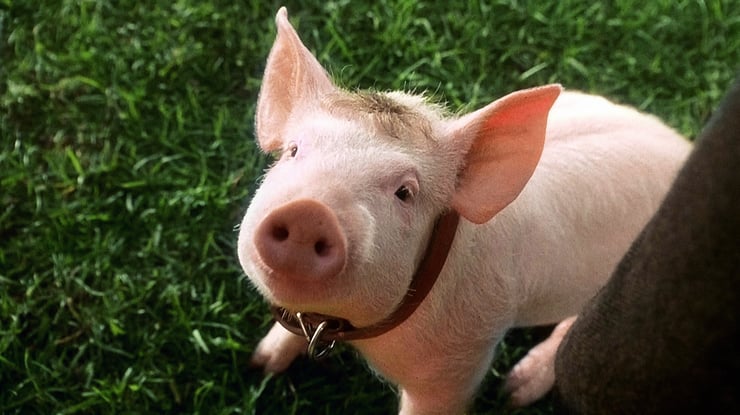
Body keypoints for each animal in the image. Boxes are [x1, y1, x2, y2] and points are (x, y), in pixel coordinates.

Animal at [237, 7, 692, 414]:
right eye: (294, 151)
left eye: (405, 192)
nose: (309, 213)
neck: (358, 333)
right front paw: (260, 365)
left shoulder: (460, 362)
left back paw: (514, 393)